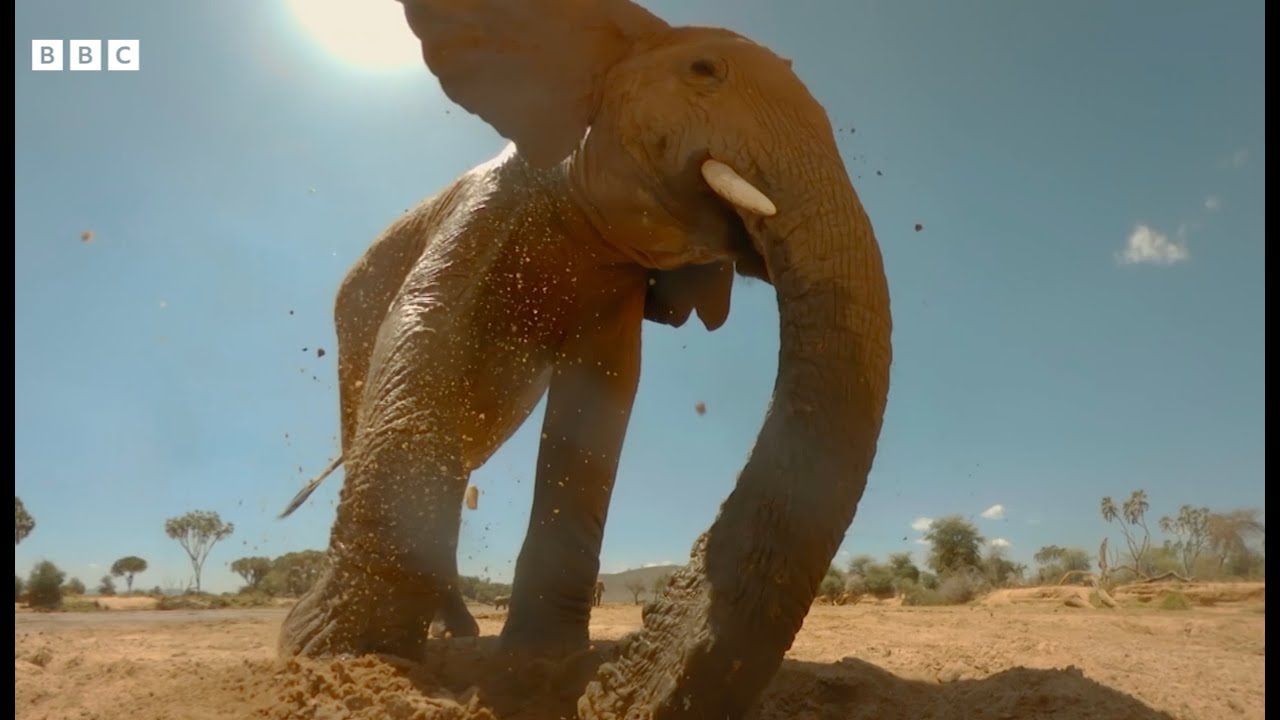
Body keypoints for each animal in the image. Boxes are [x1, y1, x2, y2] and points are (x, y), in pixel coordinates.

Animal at [277, 0, 893, 718]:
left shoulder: (617, 280)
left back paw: (457, 634)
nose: (606, 693)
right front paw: (336, 657)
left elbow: (604, 392)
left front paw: (543, 665)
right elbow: (426, 322)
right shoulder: (491, 202)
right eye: (703, 70)